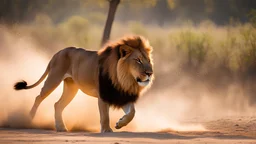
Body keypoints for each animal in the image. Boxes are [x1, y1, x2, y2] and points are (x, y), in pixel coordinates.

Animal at [13, 35, 154, 133]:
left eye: (148, 60)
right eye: (138, 60)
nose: (150, 73)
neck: (124, 78)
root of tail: (58, 52)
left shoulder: (121, 95)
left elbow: (132, 112)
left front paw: (120, 123)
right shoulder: (103, 96)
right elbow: (105, 115)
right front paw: (106, 130)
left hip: (71, 88)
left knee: (57, 105)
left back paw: (61, 127)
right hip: (54, 79)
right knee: (39, 97)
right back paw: (29, 119)